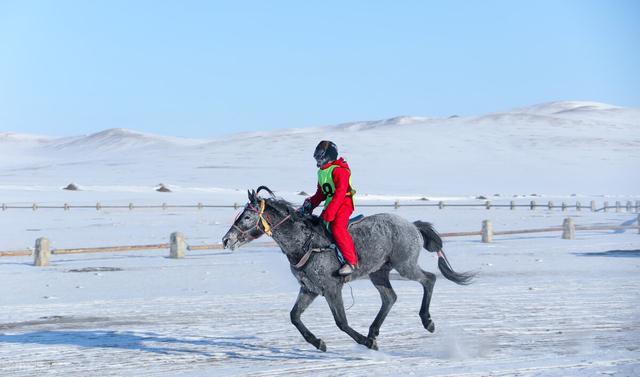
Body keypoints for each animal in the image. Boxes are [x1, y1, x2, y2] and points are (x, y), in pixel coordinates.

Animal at [222, 187, 472, 352]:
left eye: (246, 216)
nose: (226, 240)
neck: (305, 242)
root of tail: (412, 225)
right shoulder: (310, 289)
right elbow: (294, 316)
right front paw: (318, 342)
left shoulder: (332, 289)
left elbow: (341, 322)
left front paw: (365, 342)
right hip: (378, 273)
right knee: (390, 297)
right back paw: (374, 330)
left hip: (405, 266)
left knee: (429, 279)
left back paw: (426, 321)